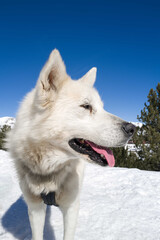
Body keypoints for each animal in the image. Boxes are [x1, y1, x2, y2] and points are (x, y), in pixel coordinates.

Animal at [7, 49, 135, 240]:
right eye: (86, 106)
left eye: (102, 107)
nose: (132, 128)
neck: (49, 170)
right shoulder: (35, 208)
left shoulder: (71, 208)